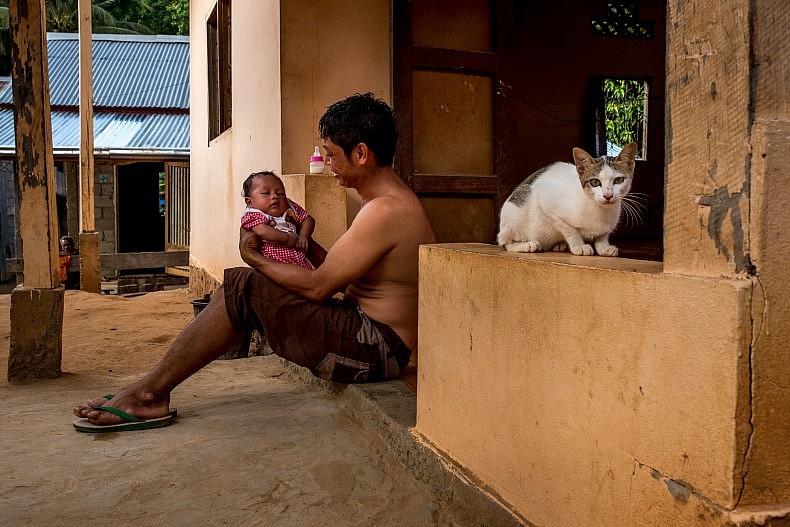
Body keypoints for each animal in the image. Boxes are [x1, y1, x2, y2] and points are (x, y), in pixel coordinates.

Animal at [502, 144, 644, 258]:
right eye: (595, 182)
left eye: (619, 180)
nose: (608, 195)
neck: (599, 210)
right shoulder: (546, 201)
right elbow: (570, 230)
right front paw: (578, 246)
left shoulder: (607, 225)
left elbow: (603, 235)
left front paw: (603, 247)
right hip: (516, 211)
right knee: (505, 243)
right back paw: (528, 245)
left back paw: (559, 244)